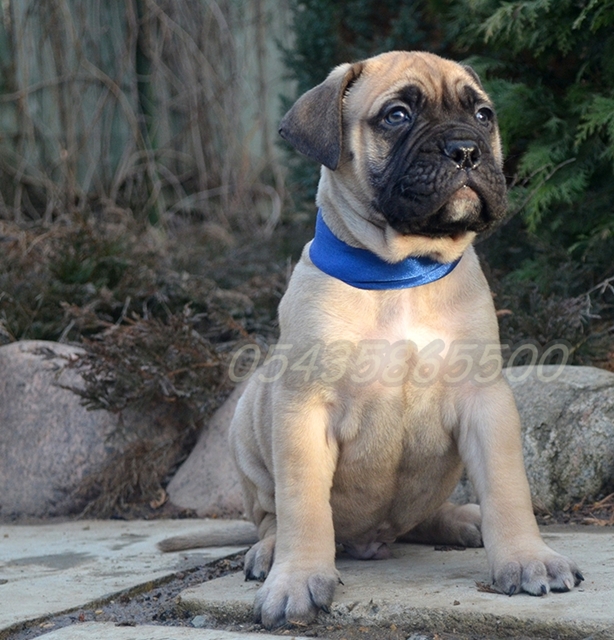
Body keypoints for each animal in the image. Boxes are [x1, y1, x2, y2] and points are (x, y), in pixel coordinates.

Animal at [162, 51, 584, 632]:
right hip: (249, 422)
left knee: (423, 516)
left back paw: (461, 520)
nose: (466, 149)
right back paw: (268, 553)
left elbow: (508, 488)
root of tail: (371, 540)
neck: (400, 271)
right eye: (397, 116)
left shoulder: (485, 400)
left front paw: (526, 558)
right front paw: (296, 580)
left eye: (483, 115)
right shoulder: (303, 409)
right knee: (271, 517)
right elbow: (304, 506)